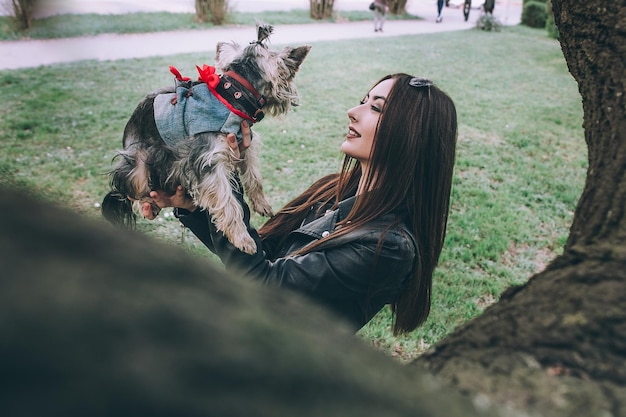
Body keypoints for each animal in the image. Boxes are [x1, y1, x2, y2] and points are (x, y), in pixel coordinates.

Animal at [102, 26, 312, 254]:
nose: (293, 97)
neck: (232, 95)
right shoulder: (208, 160)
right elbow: (227, 201)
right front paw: (242, 239)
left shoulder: (244, 145)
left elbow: (254, 176)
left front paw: (261, 204)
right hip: (137, 164)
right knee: (132, 191)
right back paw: (148, 203)